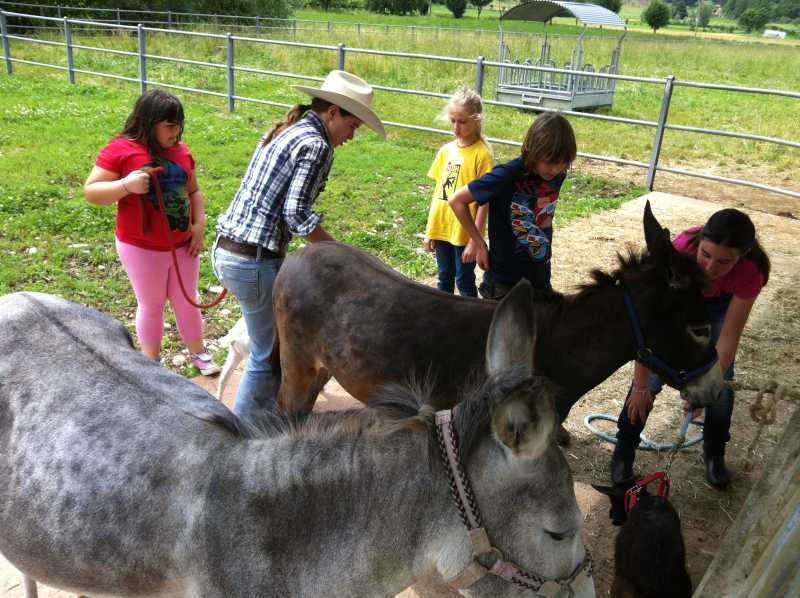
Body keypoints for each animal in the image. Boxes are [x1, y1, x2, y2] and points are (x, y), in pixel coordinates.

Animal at [274, 201, 723, 425]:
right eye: (700, 328)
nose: (717, 392)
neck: (556, 348)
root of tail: (299, 256)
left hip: (323, 367)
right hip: (298, 364)